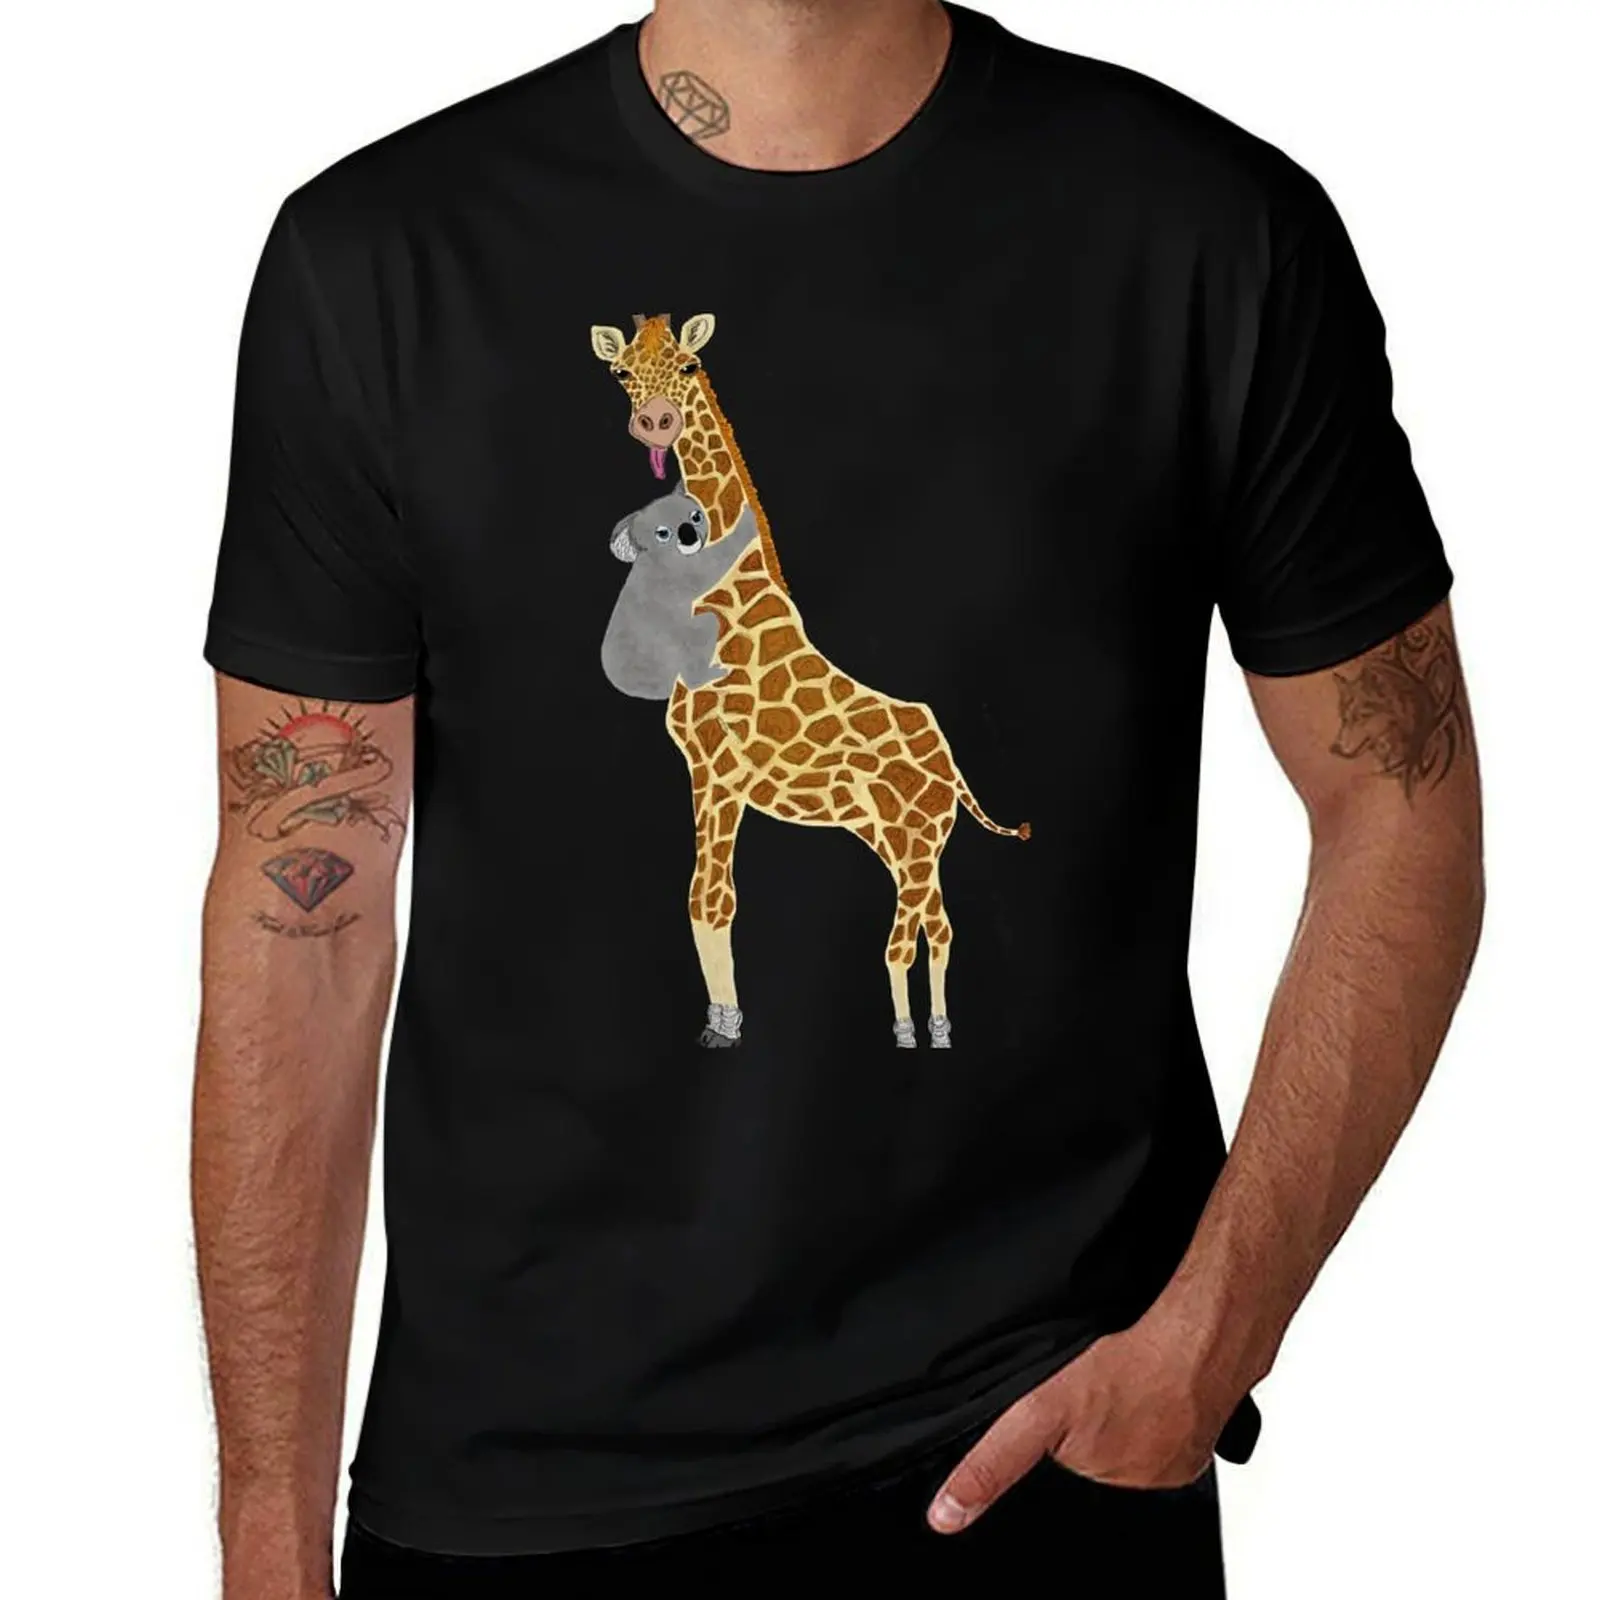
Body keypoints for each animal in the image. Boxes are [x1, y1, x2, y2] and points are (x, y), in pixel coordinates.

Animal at [589, 312, 1029, 1049]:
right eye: (622, 373)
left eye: (687, 365)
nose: (655, 423)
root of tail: (953, 768)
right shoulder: (705, 771)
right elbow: (703, 898)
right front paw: (722, 1019)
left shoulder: (719, 772)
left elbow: (712, 899)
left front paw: (725, 1026)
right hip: (901, 841)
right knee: (936, 923)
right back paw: (934, 1031)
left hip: (914, 839)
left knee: (918, 928)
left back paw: (918, 1031)